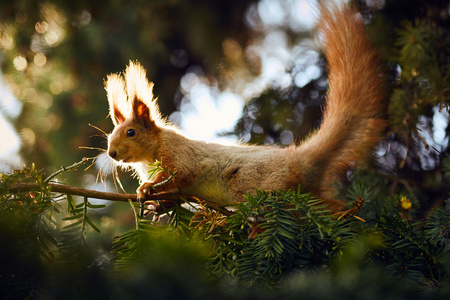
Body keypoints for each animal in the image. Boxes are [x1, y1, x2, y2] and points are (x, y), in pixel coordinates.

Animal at [106, 2, 386, 213]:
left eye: (131, 132)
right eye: (110, 135)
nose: (111, 153)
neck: (149, 155)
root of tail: (299, 160)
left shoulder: (179, 154)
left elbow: (181, 174)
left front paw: (147, 188)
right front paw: (158, 206)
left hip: (255, 185)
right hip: (307, 192)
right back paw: (348, 214)